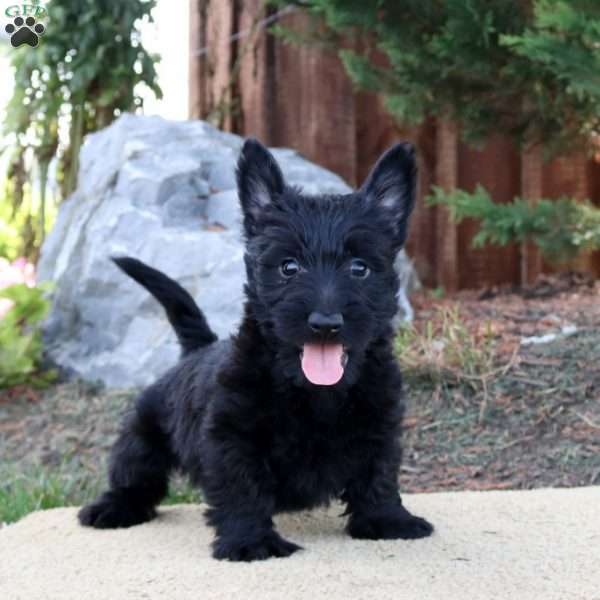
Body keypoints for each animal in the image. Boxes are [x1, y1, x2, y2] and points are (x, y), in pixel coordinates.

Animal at [81, 138, 436, 560]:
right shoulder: (232, 434)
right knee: (134, 472)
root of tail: (196, 350)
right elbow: (241, 486)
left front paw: (387, 521)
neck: (314, 393)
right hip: (144, 431)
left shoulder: (379, 423)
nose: (325, 323)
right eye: (288, 266)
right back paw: (113, 507)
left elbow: (378, 474)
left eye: (360, 267)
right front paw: (250, 541)